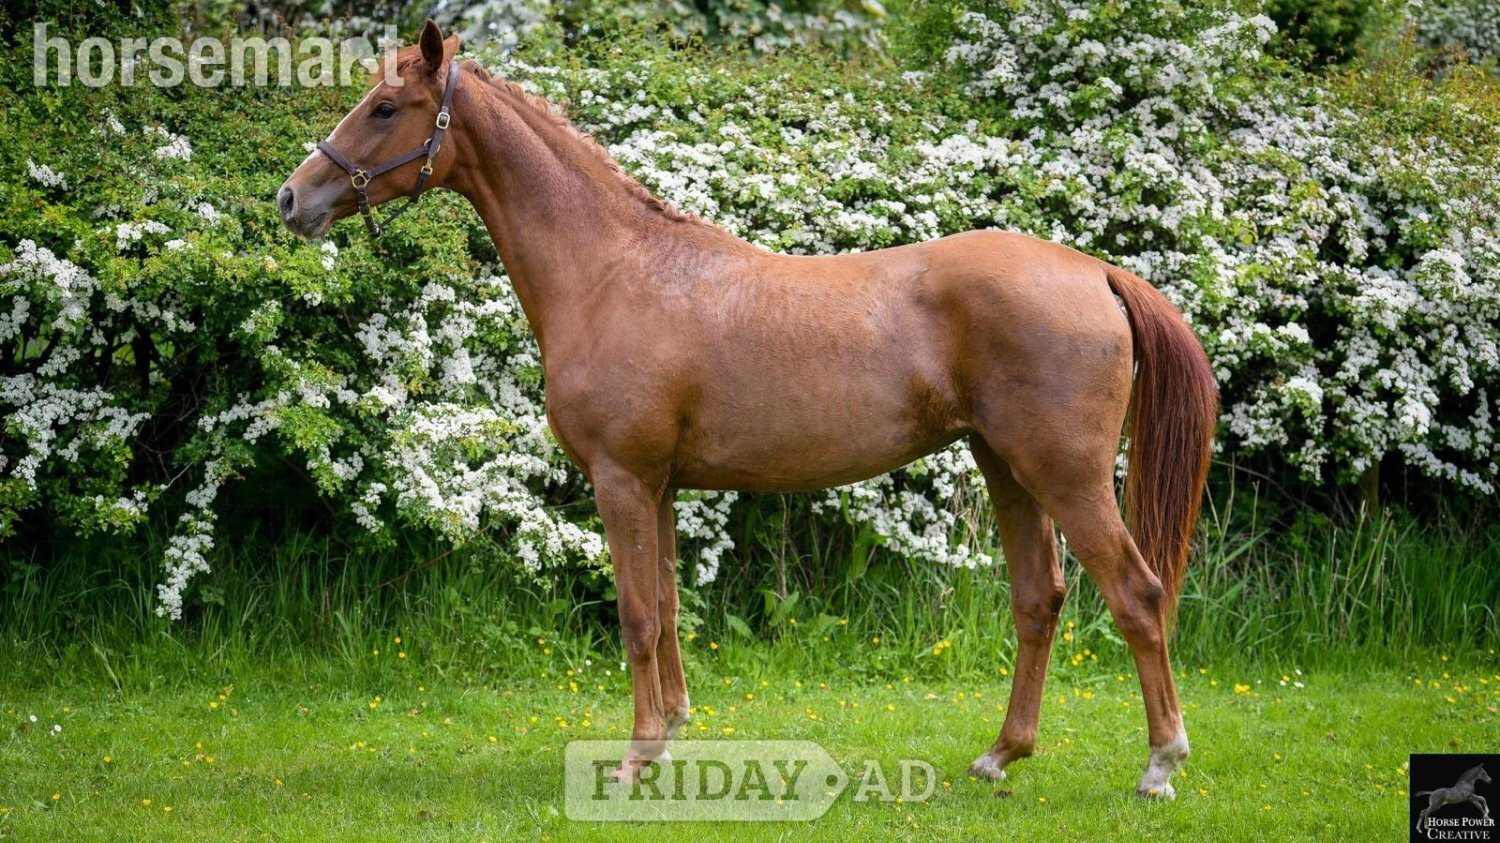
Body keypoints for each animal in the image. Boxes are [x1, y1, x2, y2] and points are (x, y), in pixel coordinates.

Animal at [278, 21, 1218, 798]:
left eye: (385, 107)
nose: (294, 198)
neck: (613, 268)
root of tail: (1095, 271)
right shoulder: (659, 486)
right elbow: (665, 609)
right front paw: (668, 738)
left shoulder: (622, 479)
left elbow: (636, 615)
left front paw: (633, 760)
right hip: (1007, 468)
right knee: (1039, 599)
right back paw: (999, 755)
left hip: (1065, 475)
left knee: (1136, 595)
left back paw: (1160, 764)